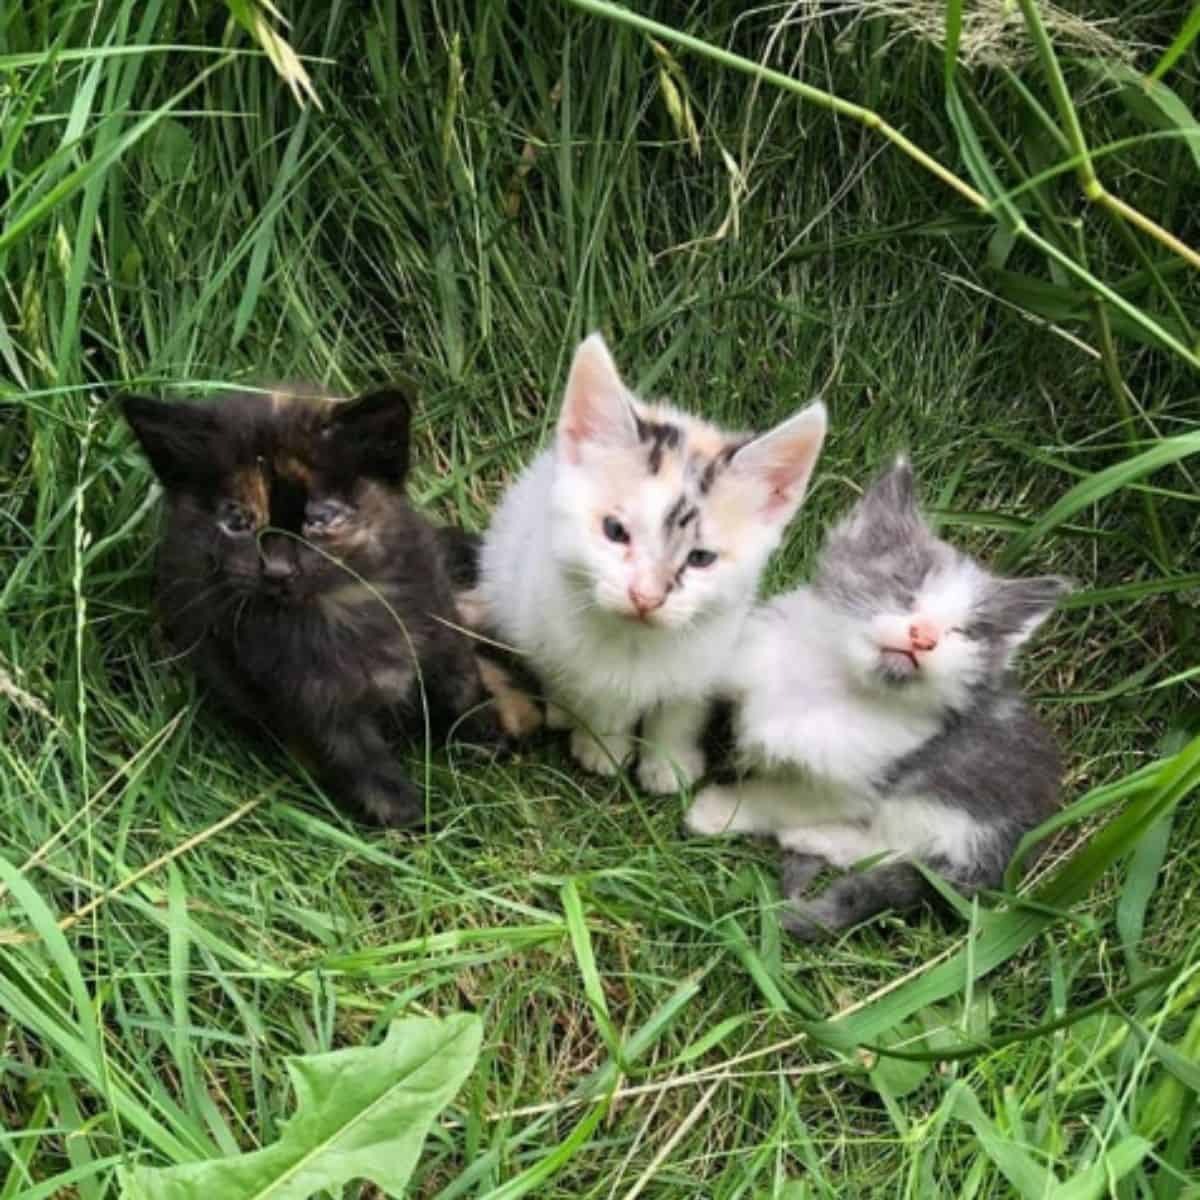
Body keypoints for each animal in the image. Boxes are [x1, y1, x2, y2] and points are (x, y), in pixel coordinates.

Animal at [118, 384, 501, 825]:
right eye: (238, 521)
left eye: (318, 518)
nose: (278, 570)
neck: (339, 609)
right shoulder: (308, 705)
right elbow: (362, 767)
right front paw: (408, 823)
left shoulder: (437, 622)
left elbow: (460, 684)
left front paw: (485, 737)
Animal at [472, 333, 830, 792]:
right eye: (615, 530)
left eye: (700, 558)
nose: (646, 596)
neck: (637, 645)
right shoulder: (561, 636)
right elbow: (598, 694)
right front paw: (604, 748)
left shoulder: (709, 656)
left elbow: (680, 711)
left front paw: (668, 765)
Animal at [686, 458, 1070, 936]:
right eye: (904, 588)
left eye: (963, 632)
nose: (923, 636)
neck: (833, 686)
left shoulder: (863, 777)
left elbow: (784, 798)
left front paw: (720, 809)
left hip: (947, 801)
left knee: (901, 852)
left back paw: (819, 838)